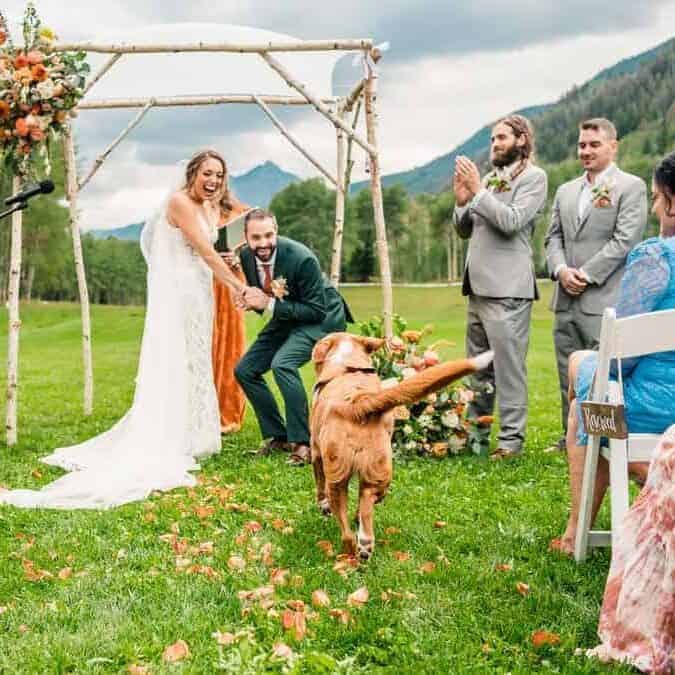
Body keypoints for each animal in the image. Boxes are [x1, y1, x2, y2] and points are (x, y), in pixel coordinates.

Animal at [310, 332, 492, 560]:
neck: (347, 363)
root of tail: (358, 404)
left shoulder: (315, 452)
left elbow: (319, 485)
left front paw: (322, 506)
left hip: (336, 477)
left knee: (346, 530)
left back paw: (350, 552)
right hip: (380, 470)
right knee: (367, 500)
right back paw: (365, 543)